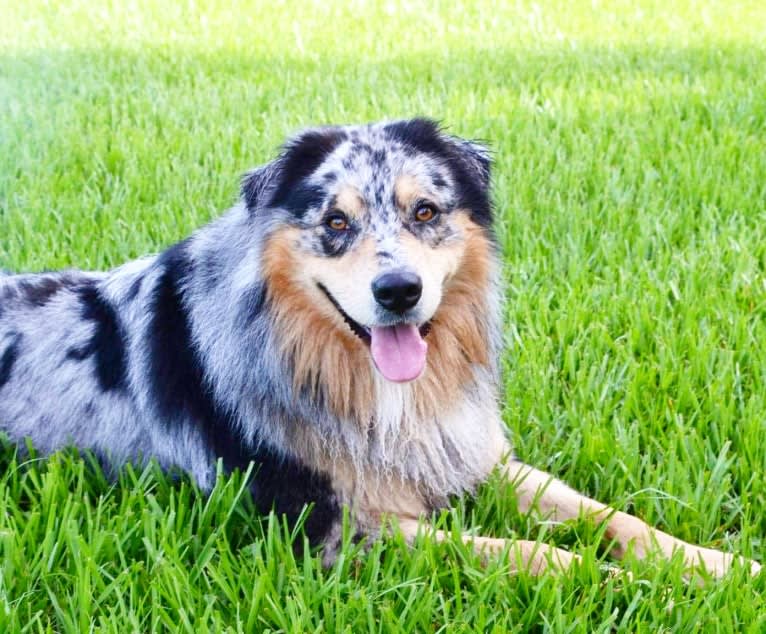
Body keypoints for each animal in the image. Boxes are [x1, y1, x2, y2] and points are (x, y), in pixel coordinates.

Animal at [0, 116, 760, 576]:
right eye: (336, 222)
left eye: (425, 211)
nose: (398, 290)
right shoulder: (335, 528)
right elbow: (534, 555)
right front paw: (628, 586)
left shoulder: (471, 453)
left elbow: (617, 519)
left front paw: (720, 569)